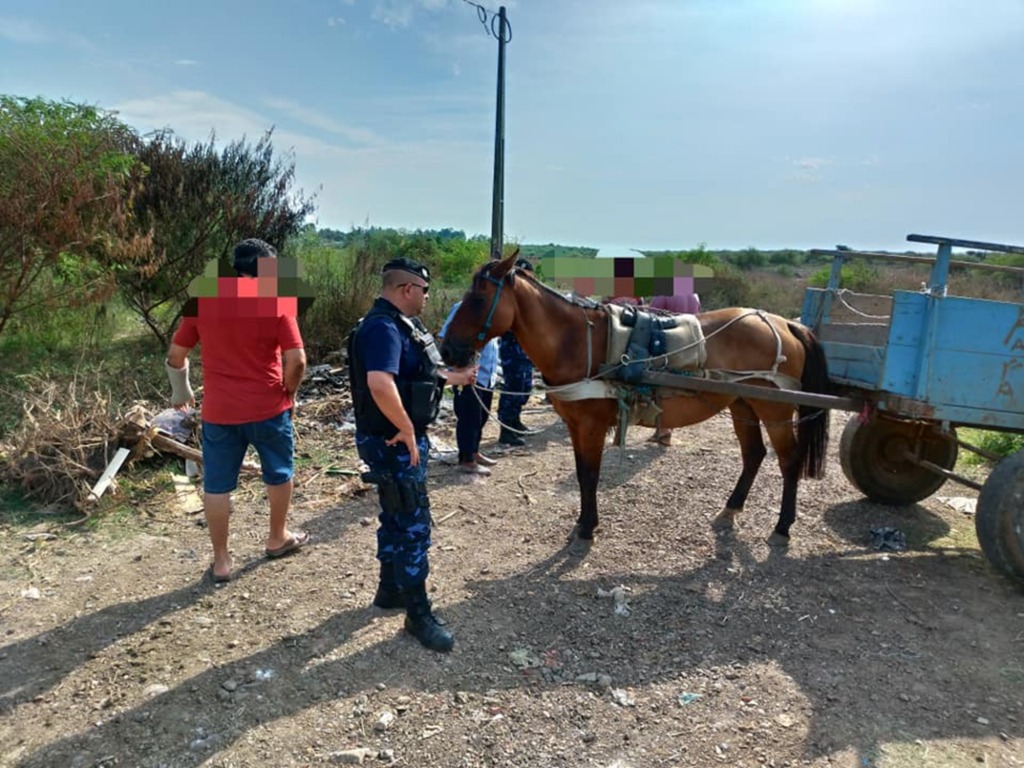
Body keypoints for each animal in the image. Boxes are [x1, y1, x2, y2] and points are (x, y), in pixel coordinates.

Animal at [440, 256, 831, 548]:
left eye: (478, 299)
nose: (447, 350)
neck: (576, 342)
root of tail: (784, 324)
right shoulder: (575, 425)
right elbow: (582, 473)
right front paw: (582, 523)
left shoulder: (592, 425)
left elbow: (590, 475)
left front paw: (587, 529)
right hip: (743, 404)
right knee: (754, 455)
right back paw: (730, 510)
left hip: (774, 409)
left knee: (789, 461)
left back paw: (782, 527)